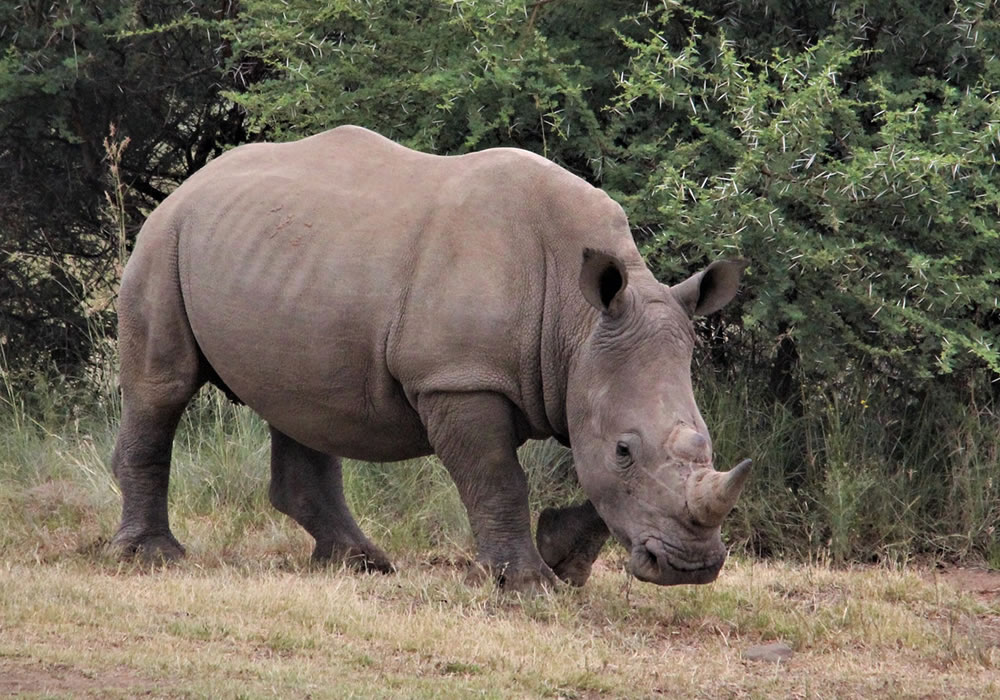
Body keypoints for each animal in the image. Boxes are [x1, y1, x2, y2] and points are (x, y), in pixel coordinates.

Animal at [111, 126, 752, 592]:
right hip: (164, 239)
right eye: (626, 450)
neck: (579, 323)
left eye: (707, 442)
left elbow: (597, 484)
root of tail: (193, 181)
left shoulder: (588, 376)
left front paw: (561, 561)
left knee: (300, 401)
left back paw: (359, 563)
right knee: (162, 388)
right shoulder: (459, 379)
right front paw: (526, 585)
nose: (690, 568)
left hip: (284, 256)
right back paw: (152, 558)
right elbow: (498, 478)